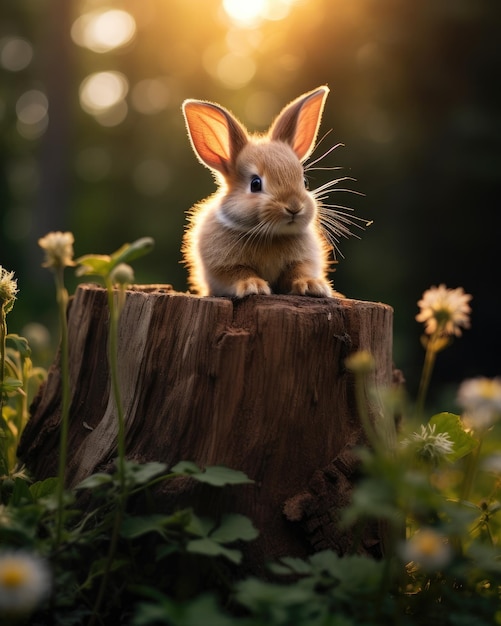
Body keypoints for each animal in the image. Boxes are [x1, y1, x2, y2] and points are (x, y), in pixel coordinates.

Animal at [181, 85, 360, 298]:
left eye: (305, 182)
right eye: (255, 184)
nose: (294, 207)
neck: (272, 235)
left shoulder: (302, 261)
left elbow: (299, 272)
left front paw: (313, 286)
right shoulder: (225, 267)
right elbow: (239, 274)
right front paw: (253, 287)